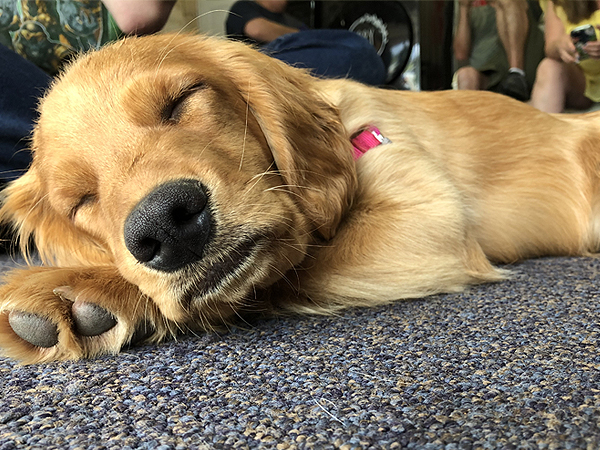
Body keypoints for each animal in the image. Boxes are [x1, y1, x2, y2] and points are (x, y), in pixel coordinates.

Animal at [1, 35, 600, 364]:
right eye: (80, 200)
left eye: (183, 99)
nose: (165, 226)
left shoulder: (430, 216)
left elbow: (283, 272)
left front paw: (90, 288)